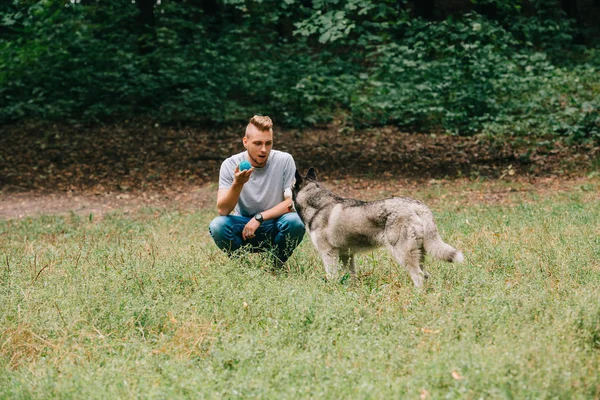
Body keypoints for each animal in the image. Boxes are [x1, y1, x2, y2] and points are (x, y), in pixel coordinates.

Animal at [290, 167, 464, 286]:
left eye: (290, 186)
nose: (284, 189)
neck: (317, 205)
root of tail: (416, 205)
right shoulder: (346, 255)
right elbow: (350, 276)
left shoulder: (328, 254)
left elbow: (332, 277)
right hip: (419, 254)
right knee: (425, 275)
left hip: (403, 254)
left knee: (419, 276)